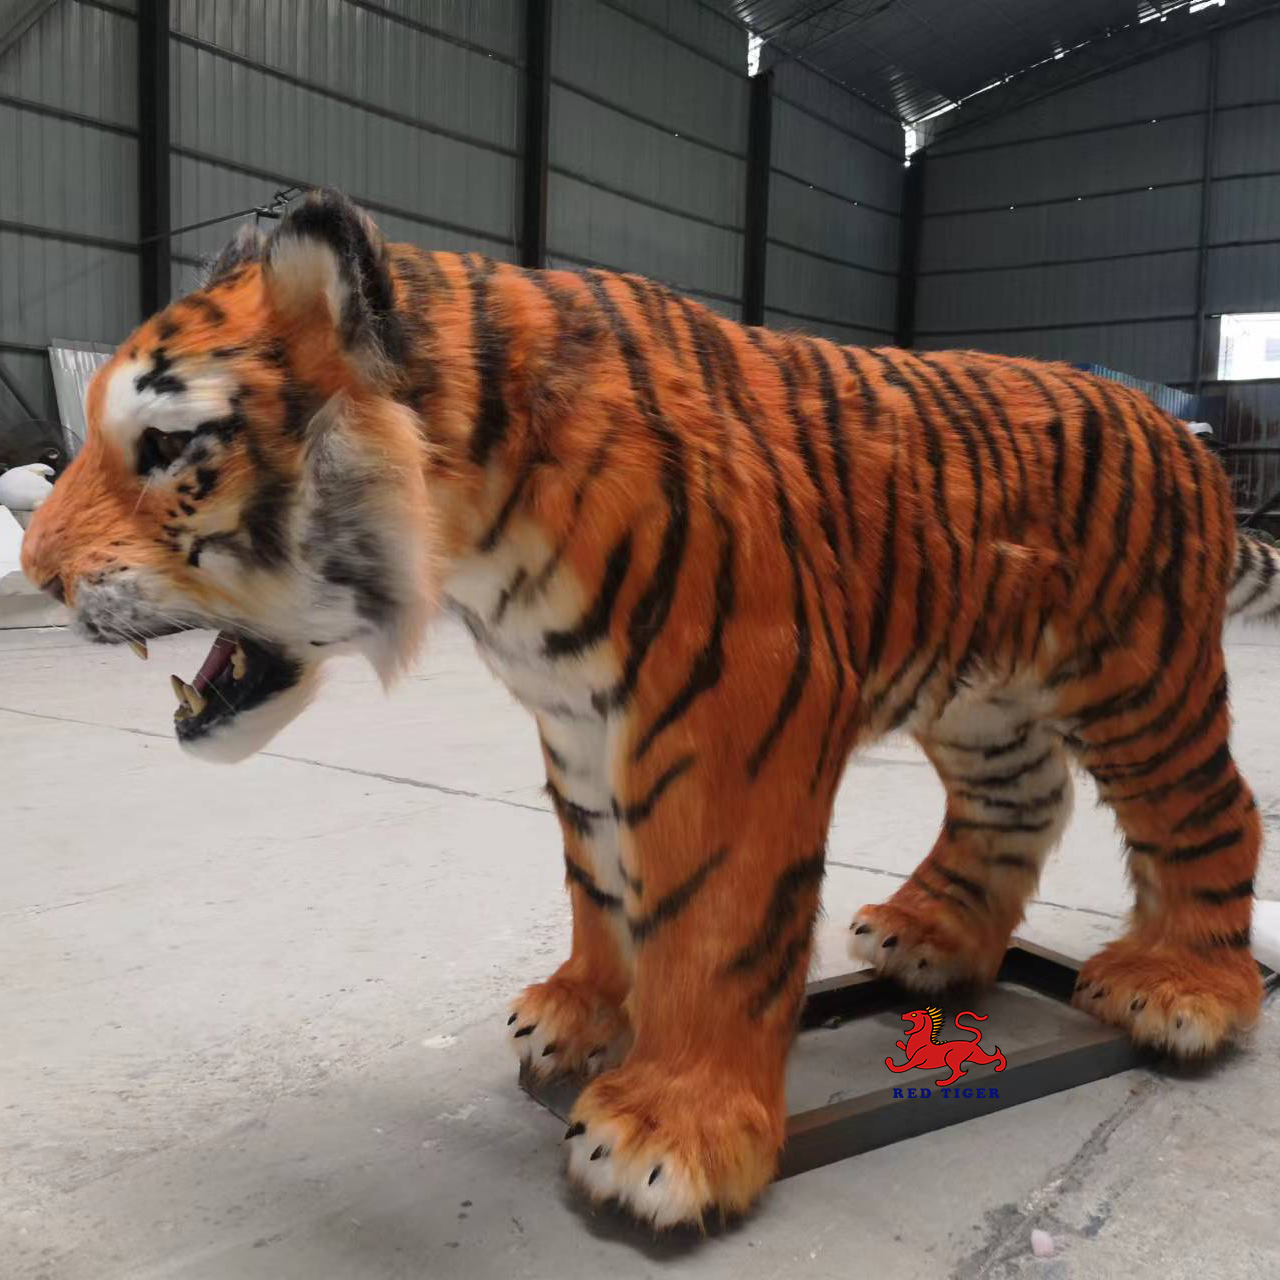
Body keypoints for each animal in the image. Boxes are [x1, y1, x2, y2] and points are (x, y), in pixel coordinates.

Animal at [22, 188, 1276, 1230]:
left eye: (167, 444)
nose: (33, 569)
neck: (477, 524)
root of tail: (1185, 439)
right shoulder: (582, 719)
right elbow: (601, 877)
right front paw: (577, 1015)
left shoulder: (743, 709)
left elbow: (714, 921)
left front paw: (671, 1130)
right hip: (985, 698)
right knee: (1020, 799)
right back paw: (931, 937)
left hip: (1139, 679)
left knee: (1212, 808)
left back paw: (1179, 990)